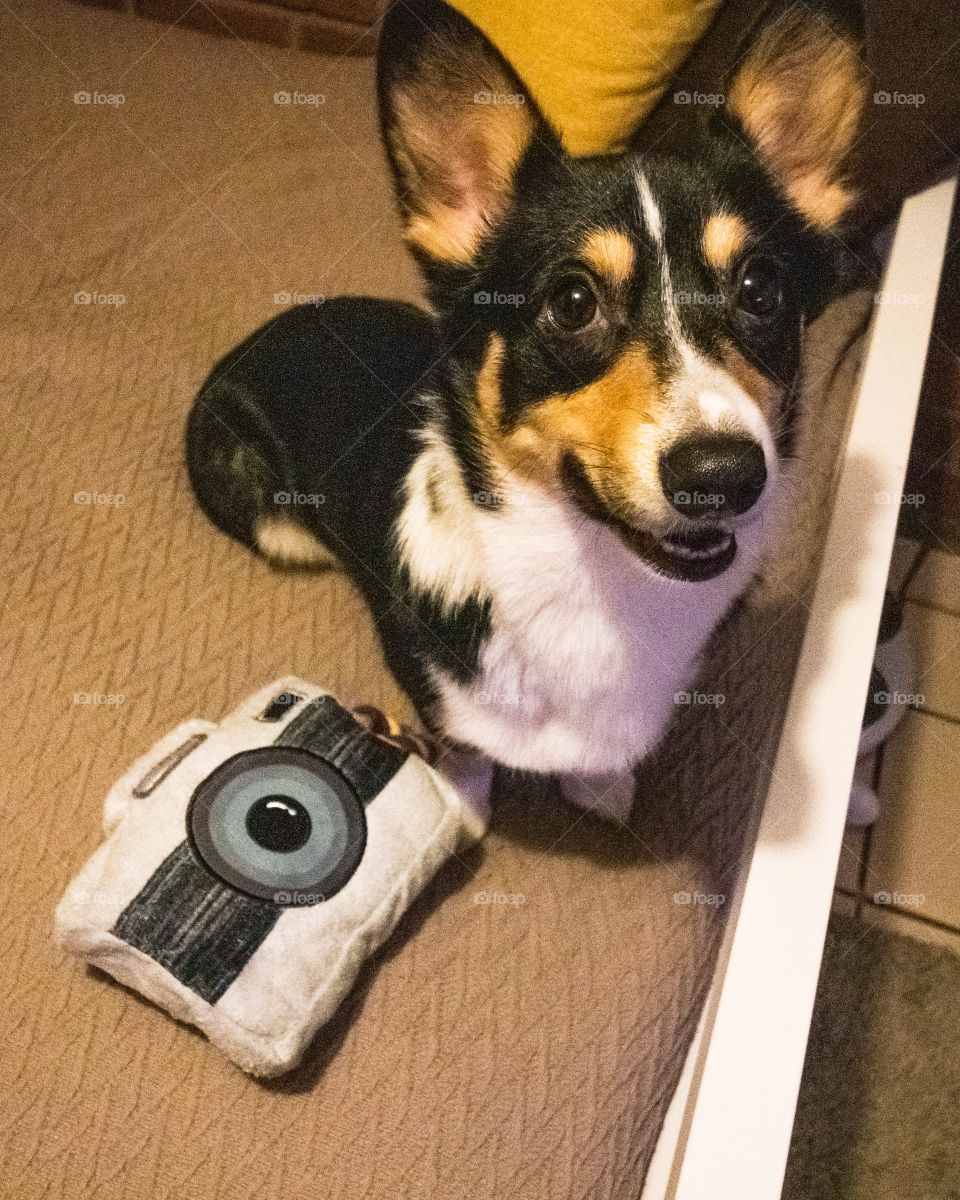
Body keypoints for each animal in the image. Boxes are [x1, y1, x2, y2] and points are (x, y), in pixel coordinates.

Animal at [187, 0, 868, 820]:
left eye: (760, 290)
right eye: (572, 302)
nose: (724, 476)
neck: (594, 578)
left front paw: (600, 786)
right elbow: (468, 748)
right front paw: (464, 809)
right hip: (281, 528)